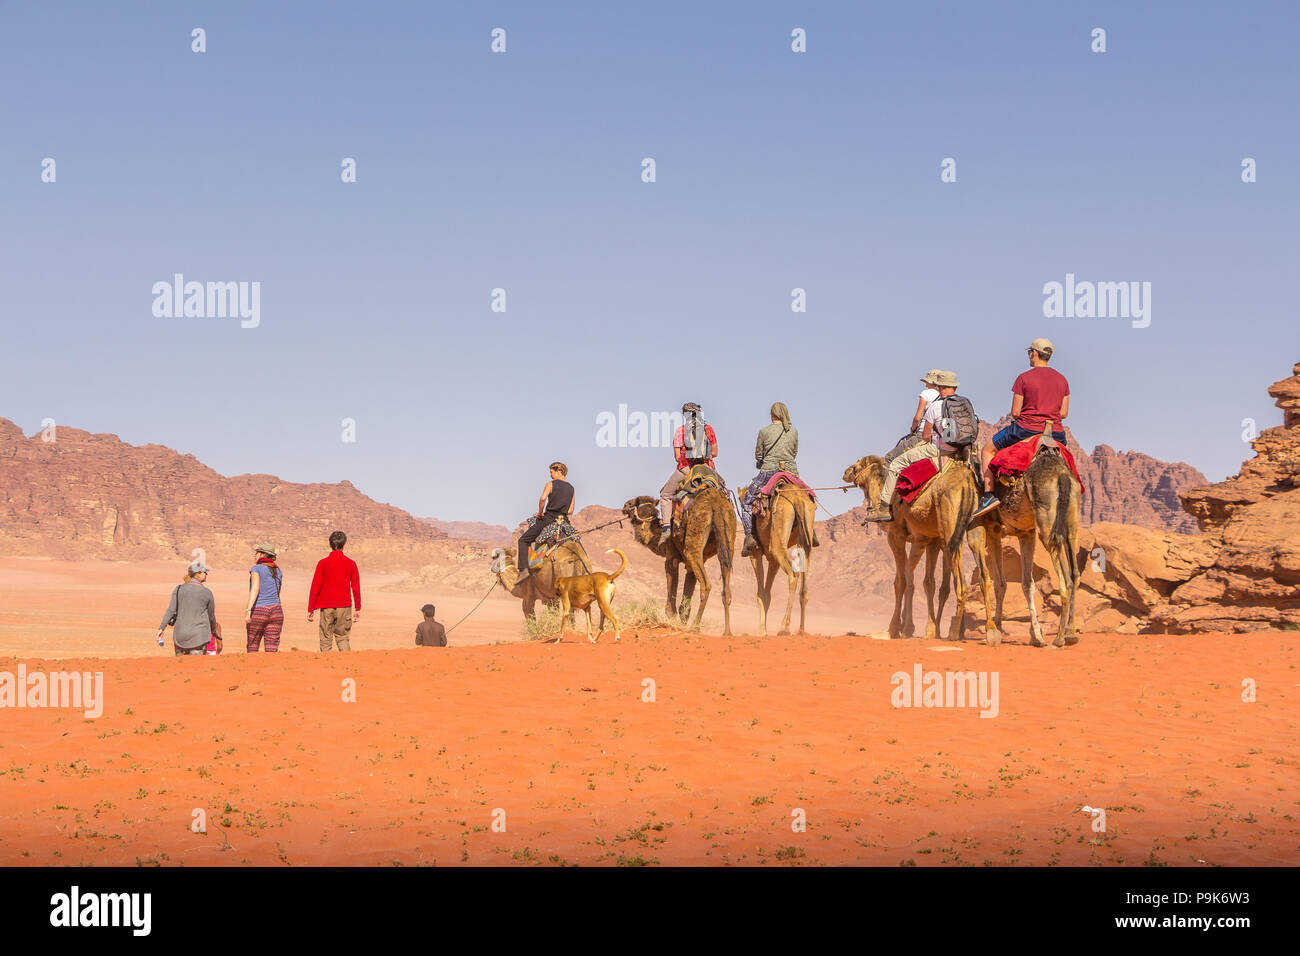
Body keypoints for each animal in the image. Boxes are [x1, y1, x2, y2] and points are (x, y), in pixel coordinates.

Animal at [618, 494, 733, 634]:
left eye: (635, 502)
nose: (625, 505)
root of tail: (716, 504)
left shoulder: (671, 557)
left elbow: (672, 586)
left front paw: (672, 618)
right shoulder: (689, 566)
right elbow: (686, 598)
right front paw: (682, 623)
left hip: (694, 545)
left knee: (706, 585)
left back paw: (696, 626)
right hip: (727, 539)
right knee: (726, 588)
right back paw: (727, 632)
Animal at [738, 486, 816, 634]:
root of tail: (797, 498)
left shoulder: (755, 552)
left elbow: (761, 593)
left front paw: (762, 631)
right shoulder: (773, 560)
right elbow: (767, 595)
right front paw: (764, 628)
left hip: (777, 544)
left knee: (793, 576)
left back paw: (784, 627)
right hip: (805, 538)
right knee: (804, 588)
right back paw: (801, 630)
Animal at [842, 455, 1003, 642]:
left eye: (856, 466)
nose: (845, 472)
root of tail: (968, 482)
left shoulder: (897, 536)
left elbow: (901, 581)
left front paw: (896, 628)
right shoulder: (926, 540)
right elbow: (924, 581)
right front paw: (921, 628)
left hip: (951, 528)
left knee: (960, 582)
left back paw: (954, 633)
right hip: (974, 524)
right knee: (984, 574)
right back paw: (991, 630)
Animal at [987, 442, 1081, 650]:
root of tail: (1062, 475)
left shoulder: (988, 527)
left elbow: (997, 582)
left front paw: (994, 630)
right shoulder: (1025, 533)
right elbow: (1026, 583)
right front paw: (1035, 635)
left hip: (1046, 526)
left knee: (1065, 581)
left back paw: (1058, 639)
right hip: (1071, 522)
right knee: (1074, 574)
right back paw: (1070, 633)